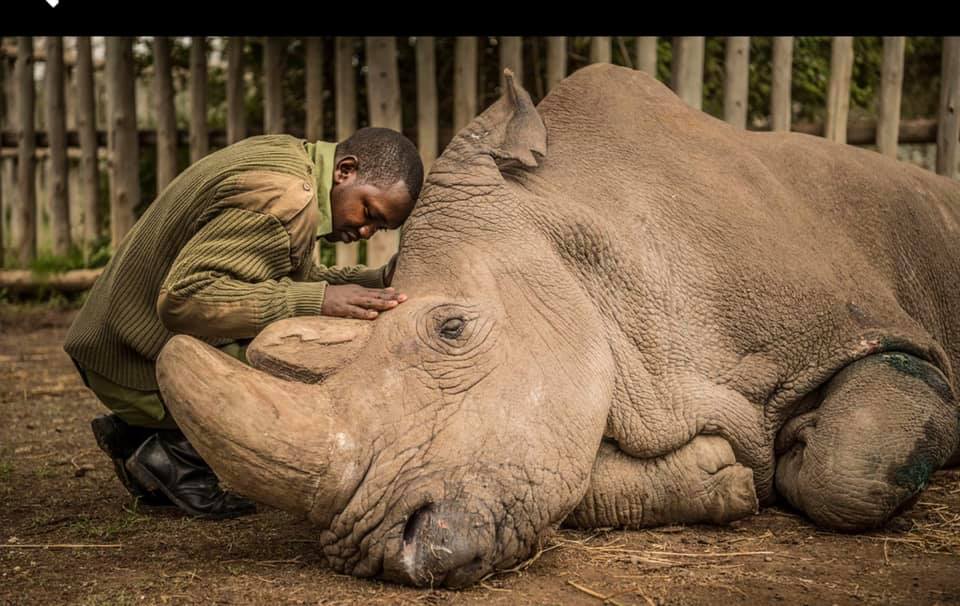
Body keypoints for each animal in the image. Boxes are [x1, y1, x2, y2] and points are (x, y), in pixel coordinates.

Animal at [155, 64, 960, 588]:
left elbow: (848, 467)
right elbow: (570, 477)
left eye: (452, 329)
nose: (383, 552)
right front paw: (724, 477)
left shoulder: (870, 332)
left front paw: (798, 449)